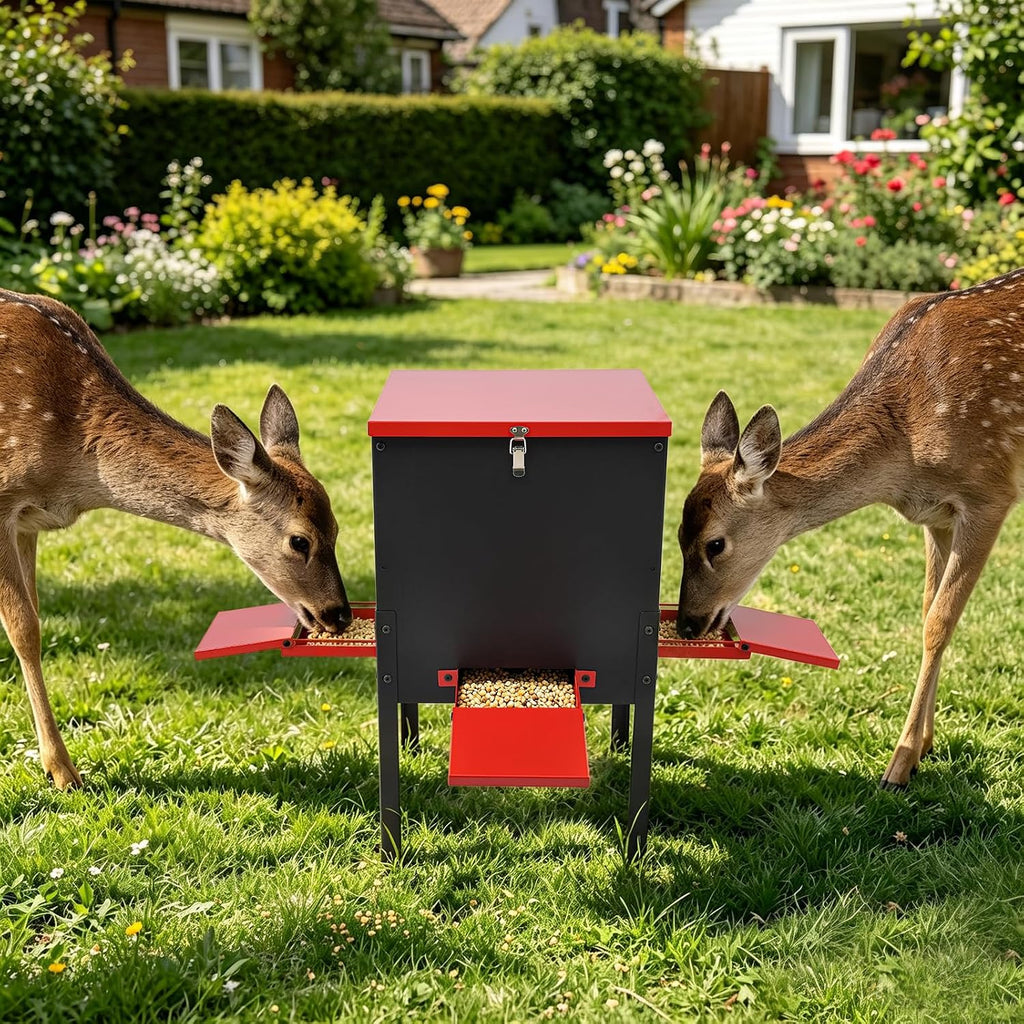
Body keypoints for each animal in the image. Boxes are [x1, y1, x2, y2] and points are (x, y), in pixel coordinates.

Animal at [0, 287, 353, 789]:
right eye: (300, 541)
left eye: (338, 528)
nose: (339, 614)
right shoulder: (3, 501)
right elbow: (25, 629)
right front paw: (63, 771)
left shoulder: (28, 522)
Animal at [676, 266, 1024, 789]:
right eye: (678, 537)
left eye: (715, 544)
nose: (686, 623)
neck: (905, 448)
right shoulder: (936, 516)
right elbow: (927, 610)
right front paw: (924, 746)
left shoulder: (989, 493)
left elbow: (939, 623)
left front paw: (899, 765)